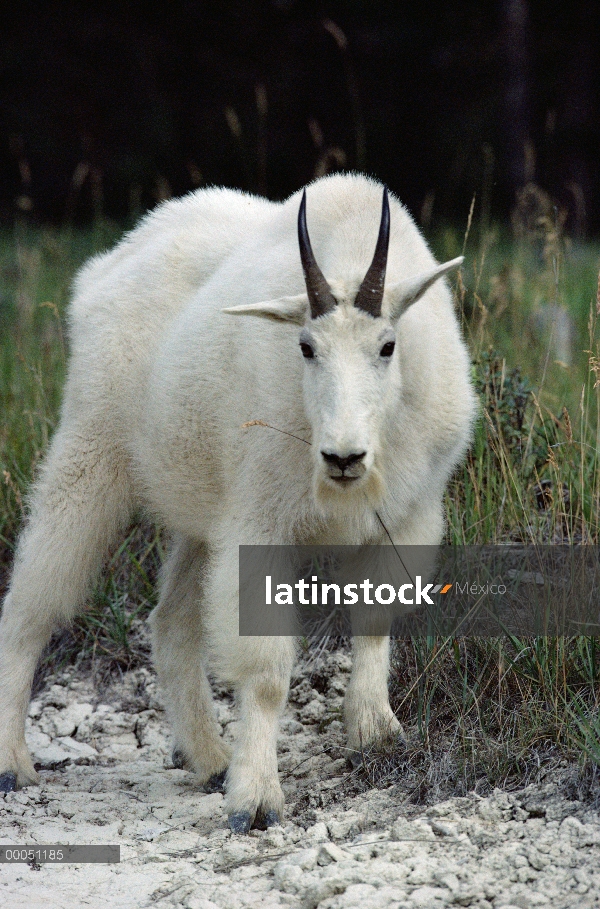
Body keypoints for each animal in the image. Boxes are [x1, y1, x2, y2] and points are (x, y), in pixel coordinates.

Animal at [1, 174, 478, 832]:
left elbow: (375, 621)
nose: (343, 458)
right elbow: (267, 670)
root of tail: (105, 269)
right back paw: (12, 763)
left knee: (171, 622)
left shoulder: (408, 516)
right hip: (90, 451)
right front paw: (255, 801)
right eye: (304, 347)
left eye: (387, 345)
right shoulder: (261, 523)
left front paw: (375, 734)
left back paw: (209, 760)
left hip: (201, 510)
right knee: (31, 603)